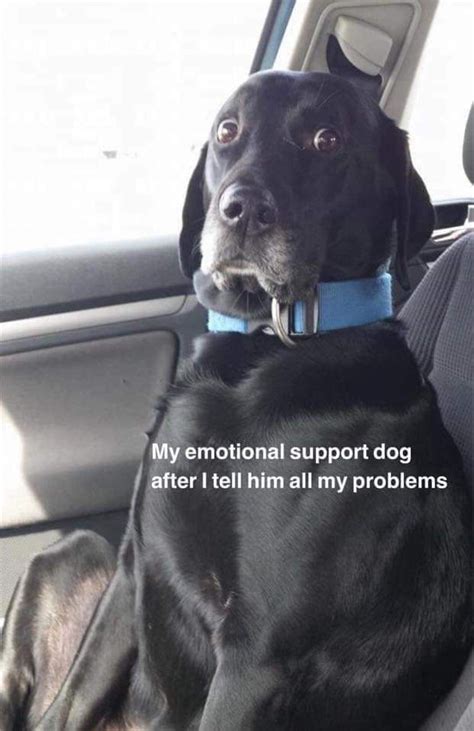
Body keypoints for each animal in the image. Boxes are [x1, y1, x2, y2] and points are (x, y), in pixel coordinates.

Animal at [0, 70, 470, 731]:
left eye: (327, 139)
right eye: (227, 130)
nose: (242, 208)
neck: (263, 347)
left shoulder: (258, 657)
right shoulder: (133, 569)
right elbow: (71, 703)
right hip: (76, 549)